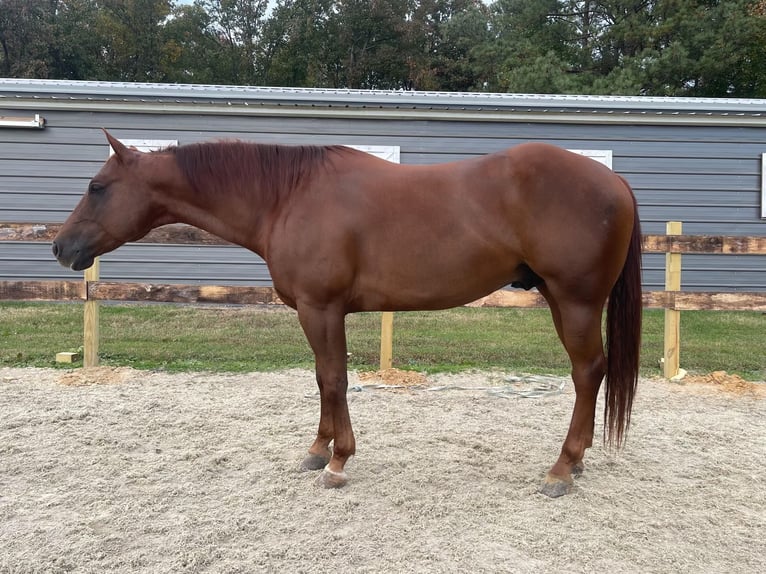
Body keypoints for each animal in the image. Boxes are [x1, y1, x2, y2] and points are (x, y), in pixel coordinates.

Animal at [54, 129, 640, 496]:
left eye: (97, 187)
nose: (61, 247)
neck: (286, 197)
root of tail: (614, 182)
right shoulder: (316, 313)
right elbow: (321, 378)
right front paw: (317, 449)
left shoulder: (322, 308)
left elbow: (335, 378)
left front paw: (337, 463)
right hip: (561, 300)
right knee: (590, 373)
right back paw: (576, 461)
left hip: (576, 300)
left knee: (587, 372)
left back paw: (561, 469)